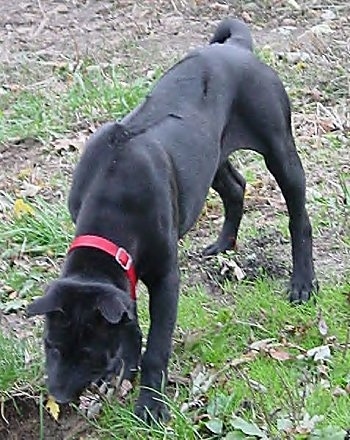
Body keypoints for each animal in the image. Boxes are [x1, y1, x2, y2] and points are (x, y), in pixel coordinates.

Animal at [27, 18, 318, 422]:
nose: (59, 395)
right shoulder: (127, 274)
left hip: (279, 145)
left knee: (298, 216)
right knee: (235, 187)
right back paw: (222, 244)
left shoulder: (166, 278)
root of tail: (237, 48)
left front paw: (149, 406)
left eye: (87, 353)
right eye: (50, 345)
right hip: (209, 158)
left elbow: (157, 347)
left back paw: (303, 282)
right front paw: (127, 364)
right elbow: (130, 319)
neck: (112, 197)